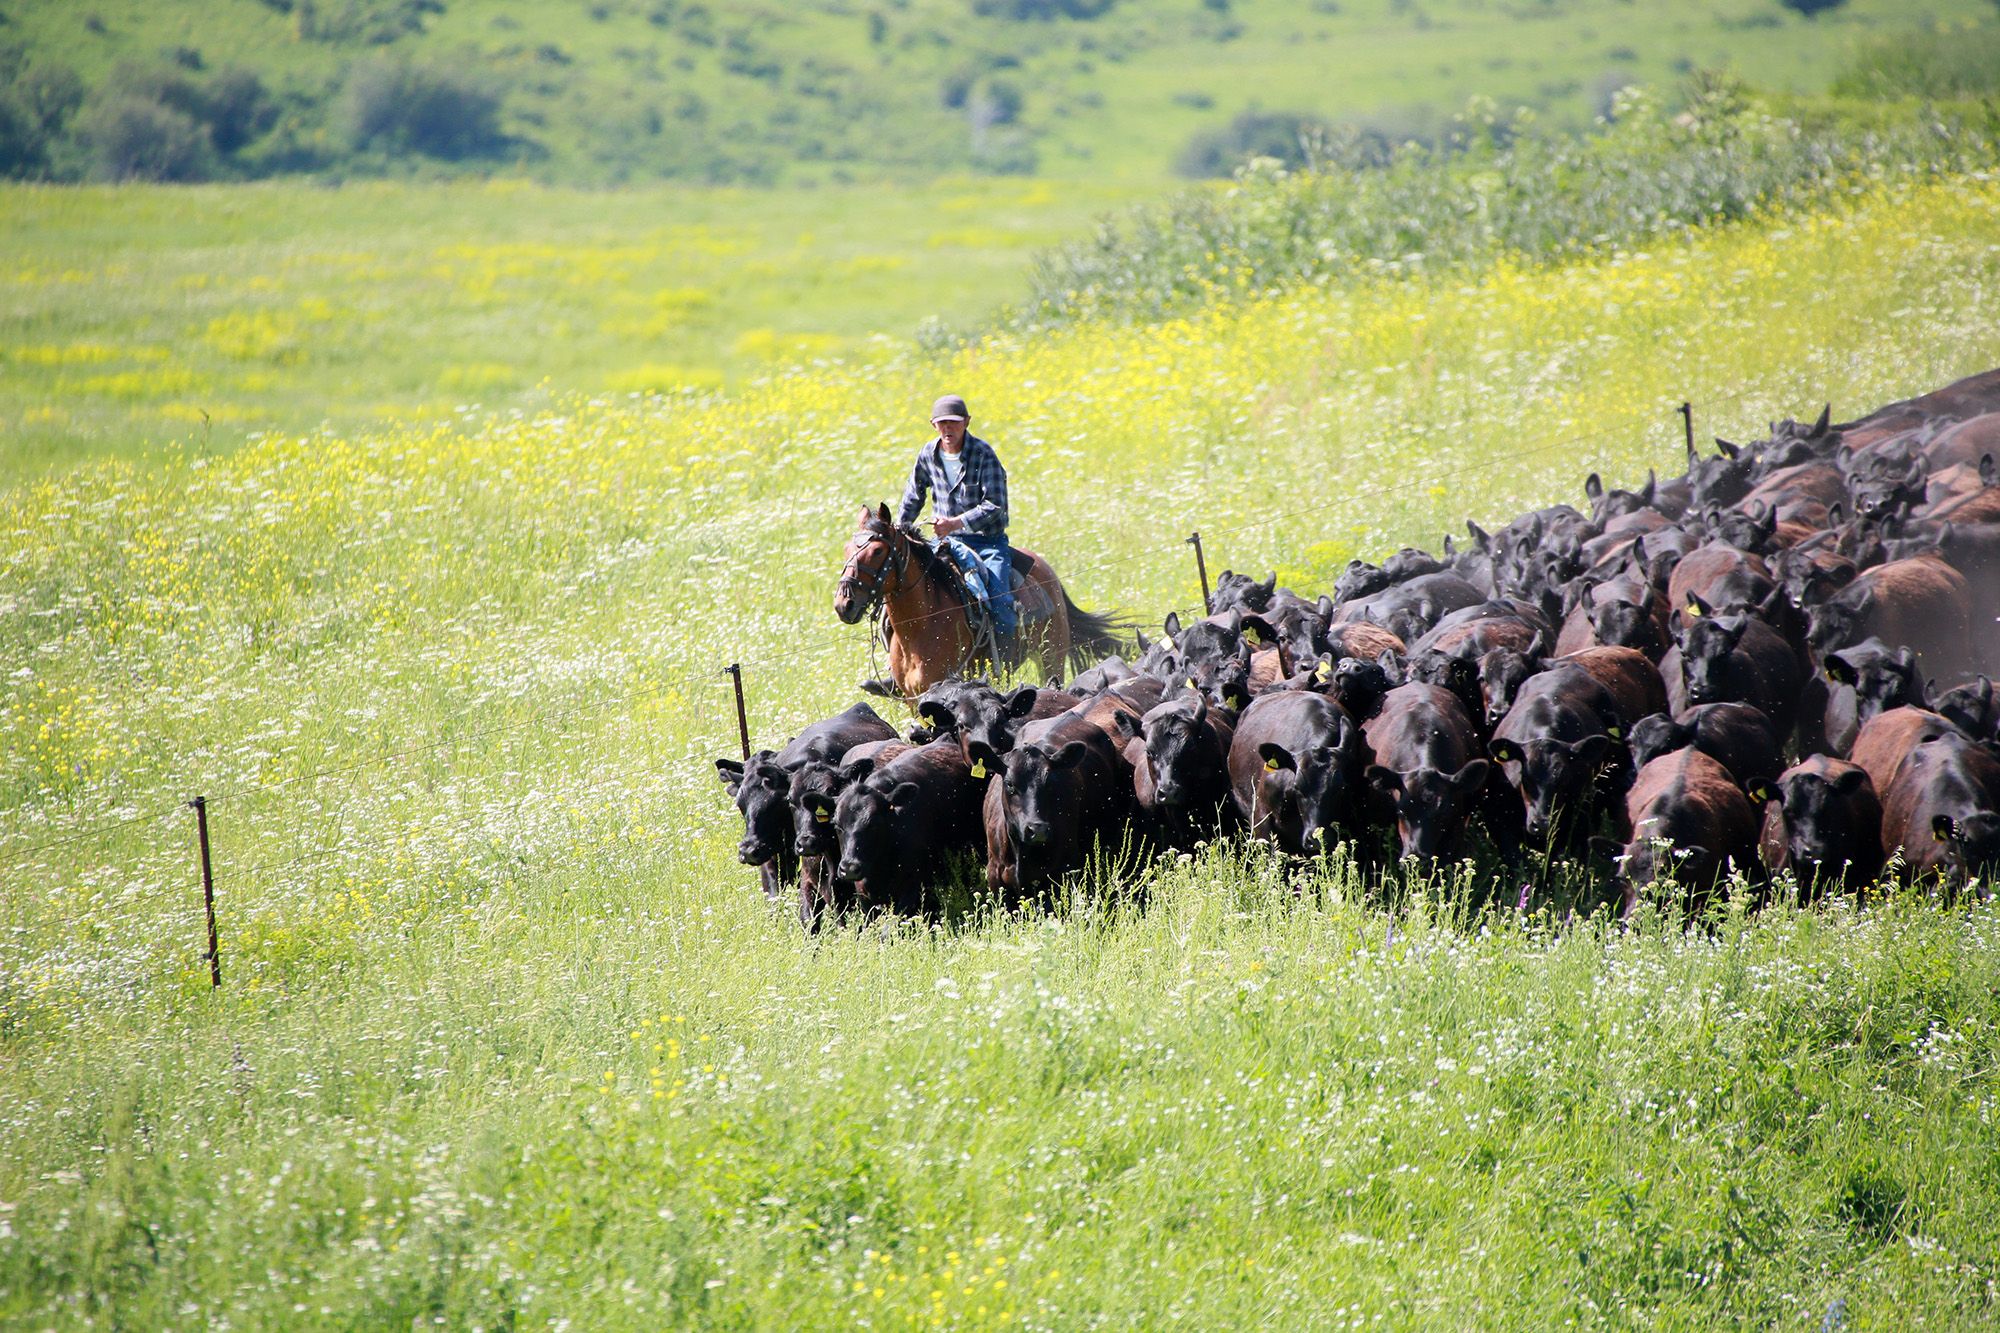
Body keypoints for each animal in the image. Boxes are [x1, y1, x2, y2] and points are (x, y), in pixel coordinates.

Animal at [836, 500, 1136, 696]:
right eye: (847, 548)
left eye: (877, 551)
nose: (844, 604)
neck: (921, 625)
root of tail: (1048, 573)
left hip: (1051, 656)